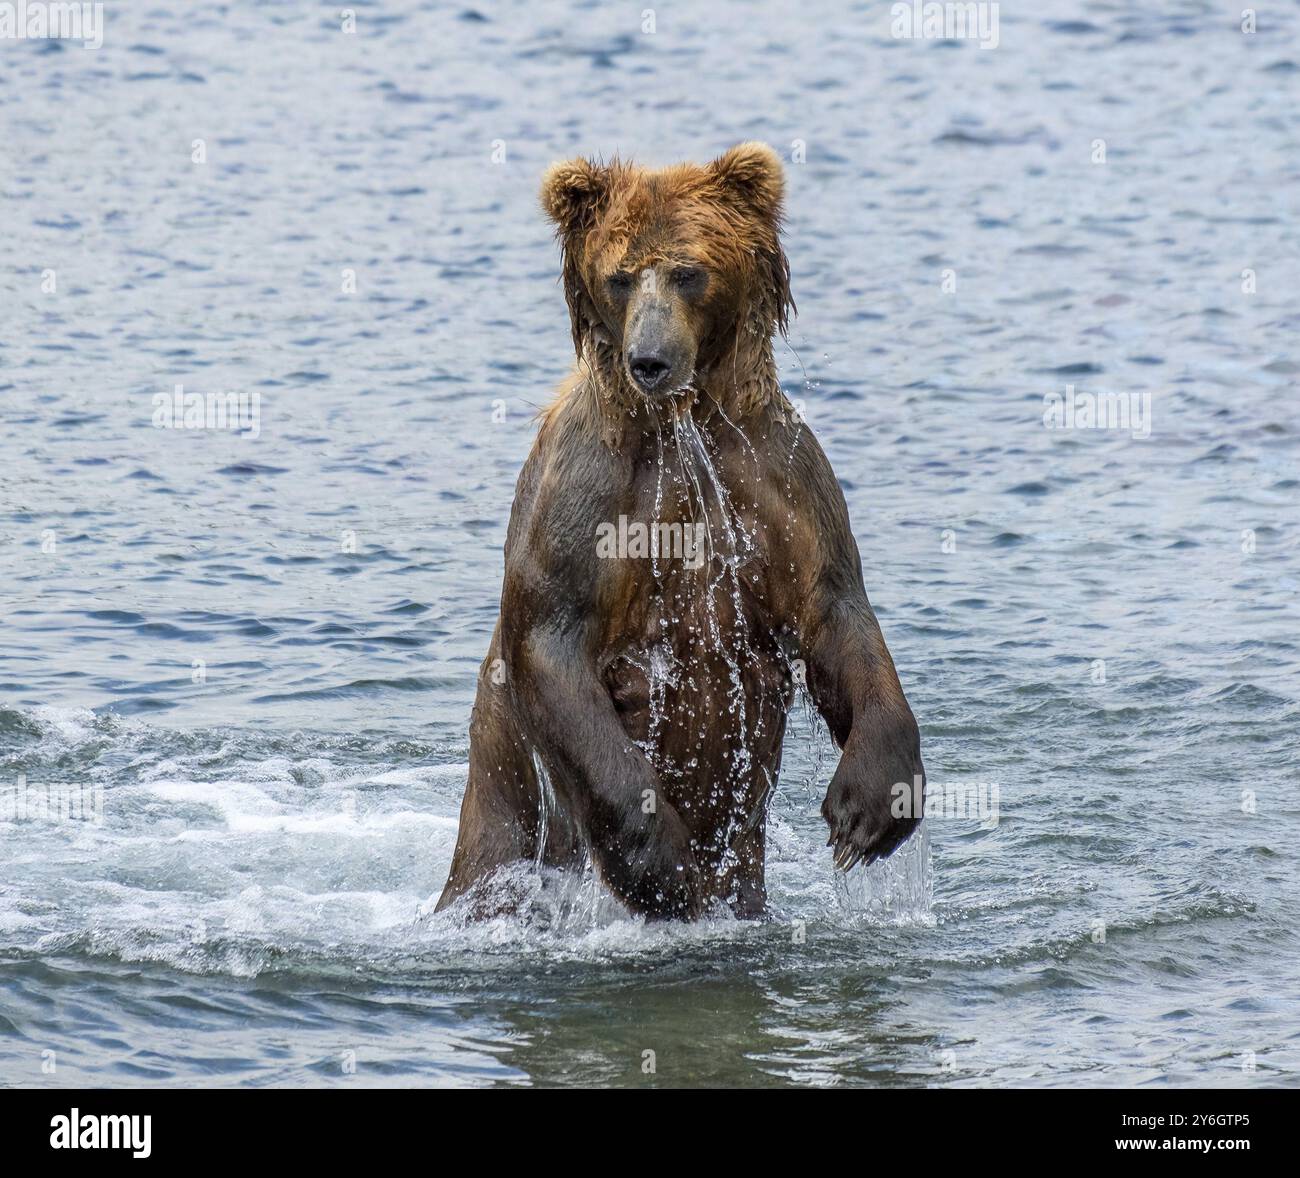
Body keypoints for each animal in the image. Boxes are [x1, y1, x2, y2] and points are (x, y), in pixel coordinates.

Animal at [436, 144, 925, 920]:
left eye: (689, 270)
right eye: (619, 274)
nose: (650, 360)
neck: (681, 424)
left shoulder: (778, 474)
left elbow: (834, 607)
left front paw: (869, 808)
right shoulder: (586, 492)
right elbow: (552, 636)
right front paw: (663, 863)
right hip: (505, 808)